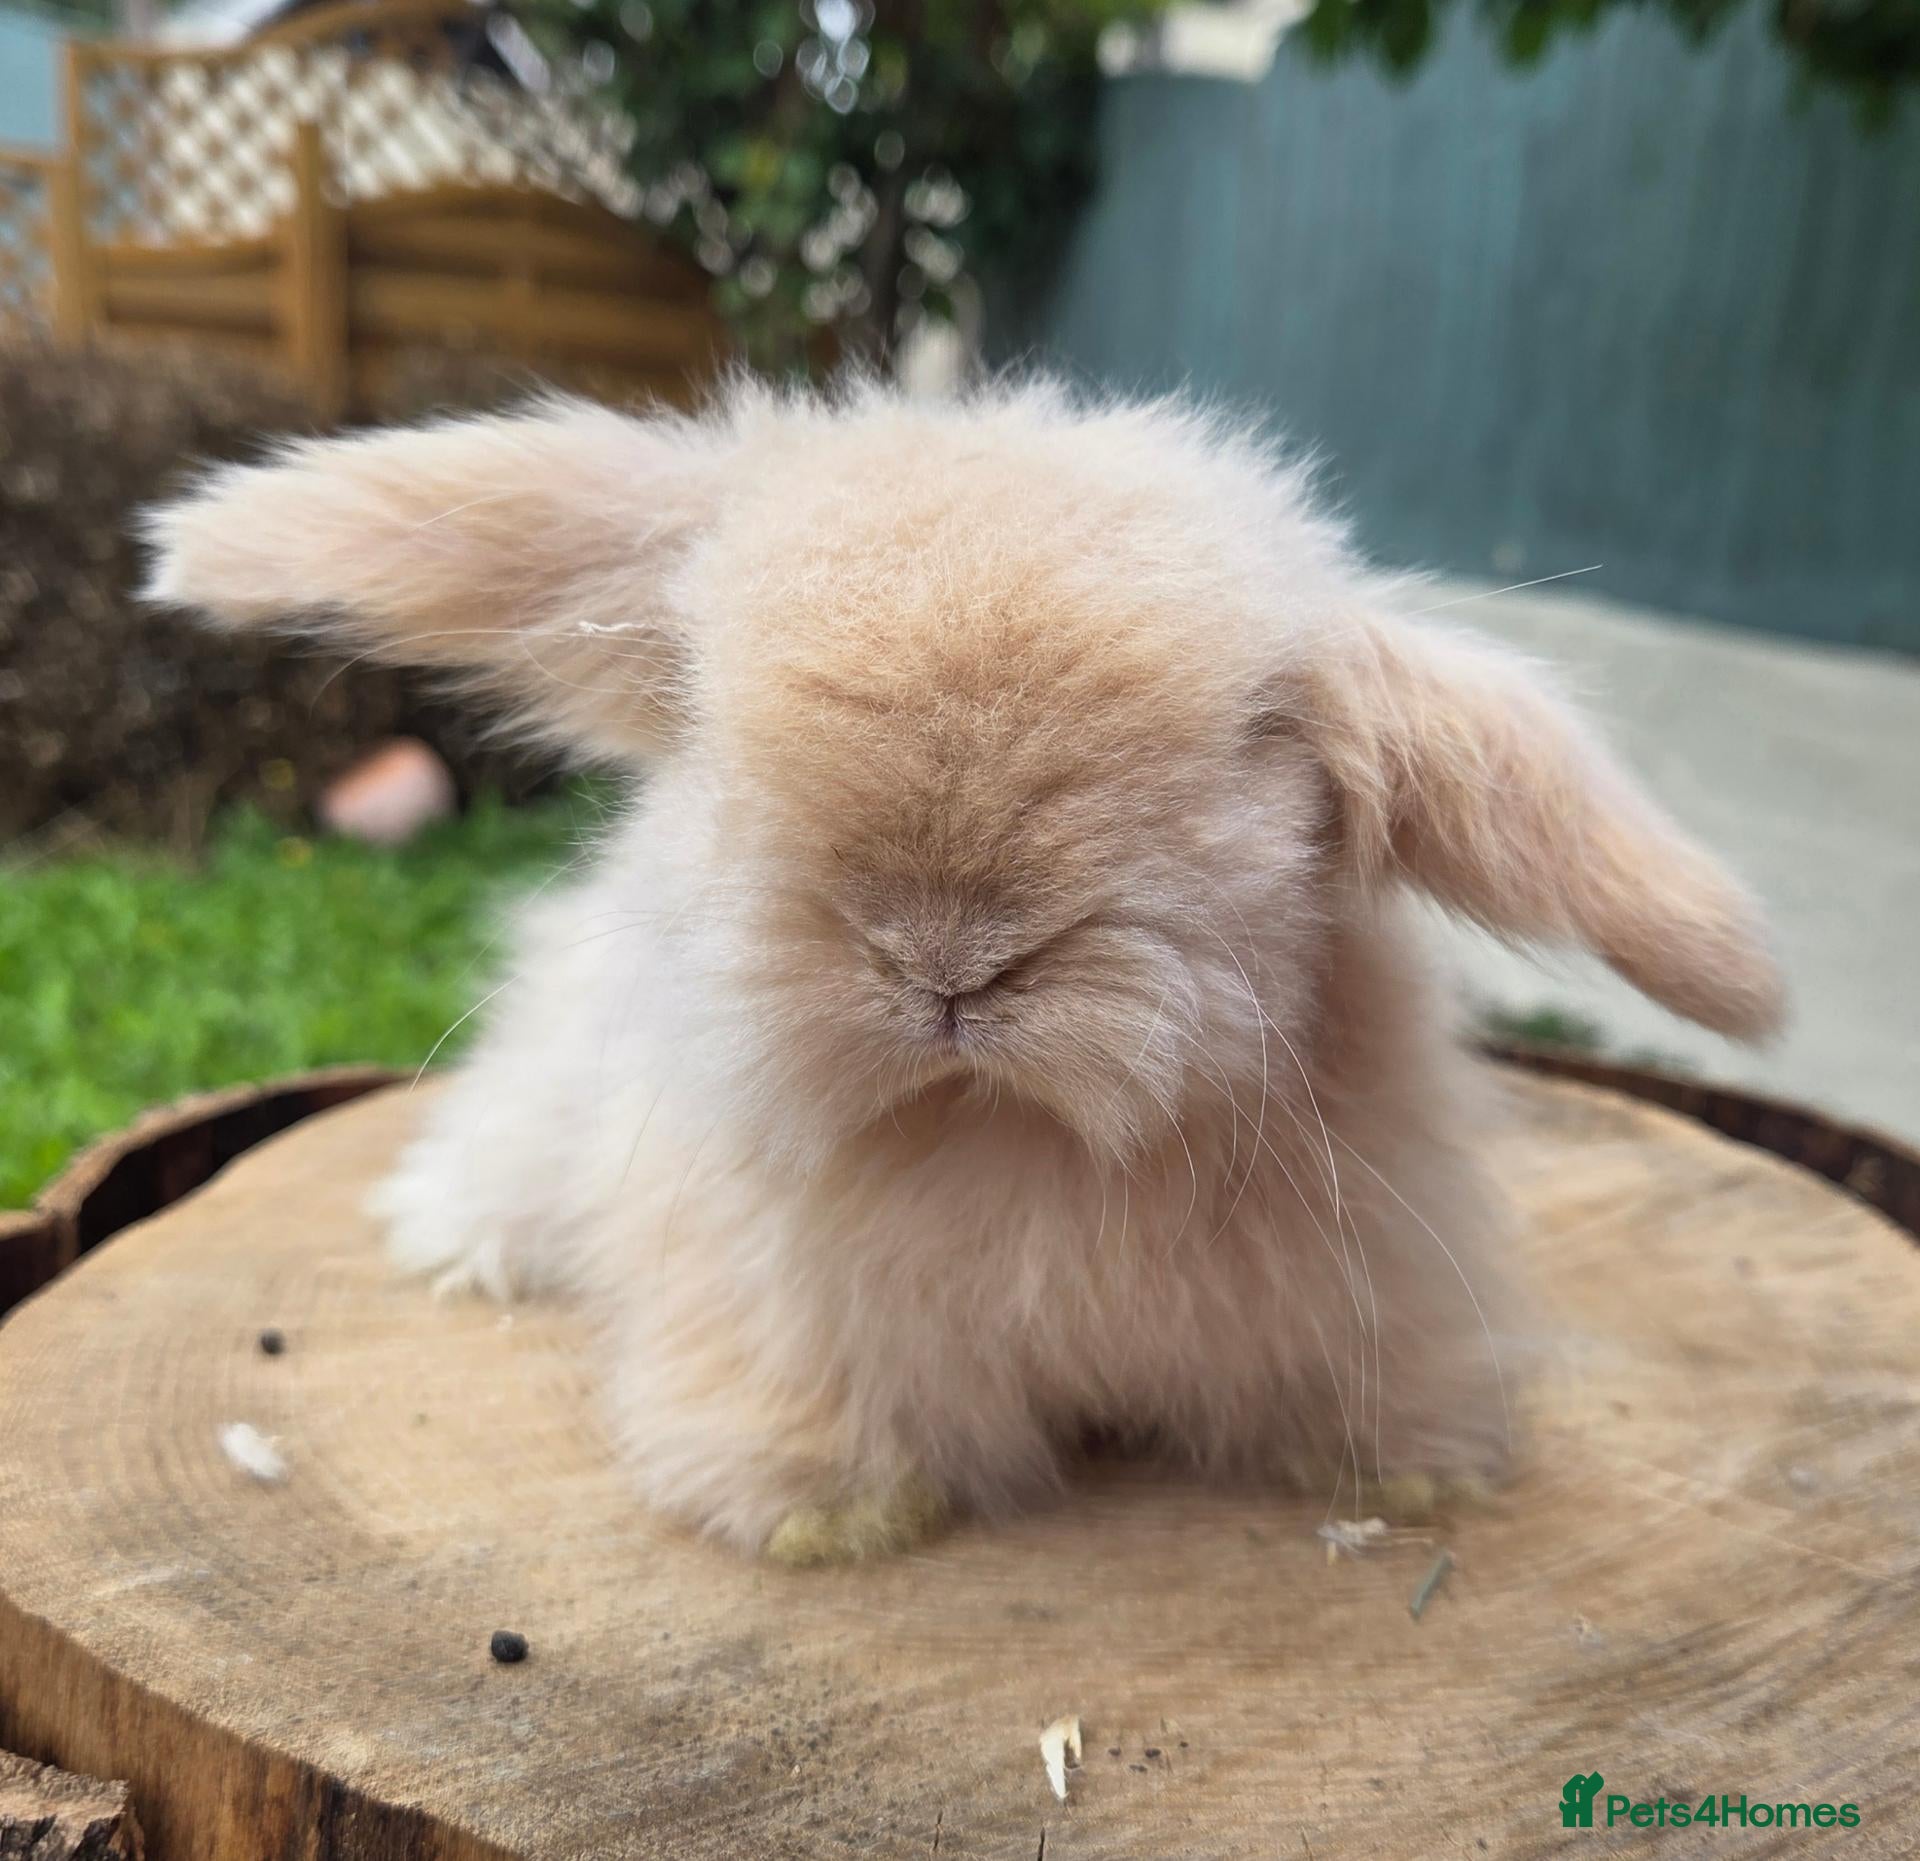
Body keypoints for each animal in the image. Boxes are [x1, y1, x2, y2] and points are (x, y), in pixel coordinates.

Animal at [146, 376, 1783, 1563]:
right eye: (717, 716)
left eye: (1259, 740)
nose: (947, 960)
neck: (1012, 1130)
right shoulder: (783, 1292)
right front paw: (817, 1512)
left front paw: (1418, 1471)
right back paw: (462, 1238)